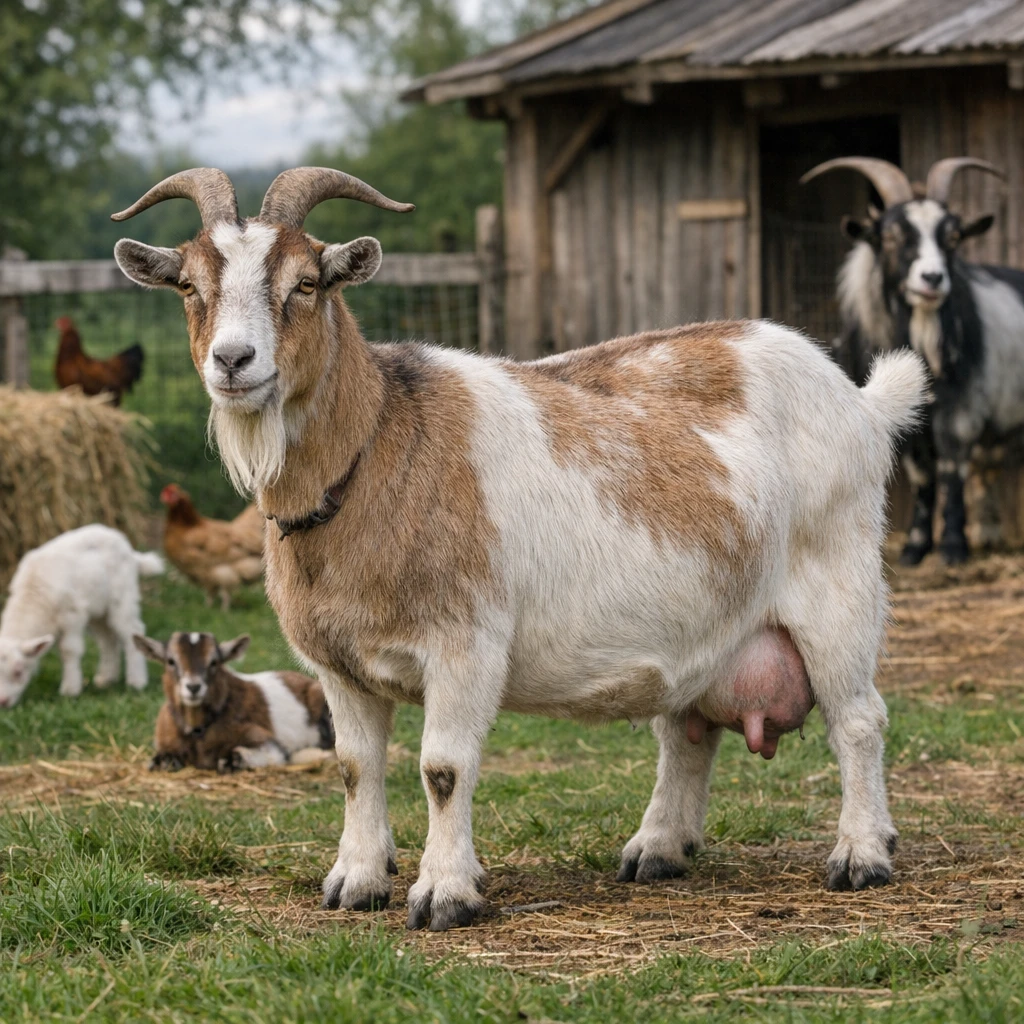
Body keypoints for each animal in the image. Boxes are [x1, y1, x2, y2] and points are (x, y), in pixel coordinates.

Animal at [0, 524, 162, 708]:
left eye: (18, 672)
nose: (2, 702)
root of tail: (130, 550)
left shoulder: (71, 615)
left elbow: (69, 650)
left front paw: (70, 689)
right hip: (97, 611)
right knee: (107, 640)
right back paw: (106, 678)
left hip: (123, 596)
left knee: (132, 631)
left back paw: (137, 681)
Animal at [134, 631, 334, 772]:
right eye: (171, 661)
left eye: (214, 662)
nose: (193, 687)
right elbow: (160, 761)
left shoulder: (265, 741)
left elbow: (268, 754)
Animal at [802, 156, 1024, 566]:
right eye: (890, 236)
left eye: (953, 237)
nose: (933, 278)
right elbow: (922, 473)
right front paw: (915, 548)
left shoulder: (961, 408)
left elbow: (952, 467)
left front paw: (953, 547)